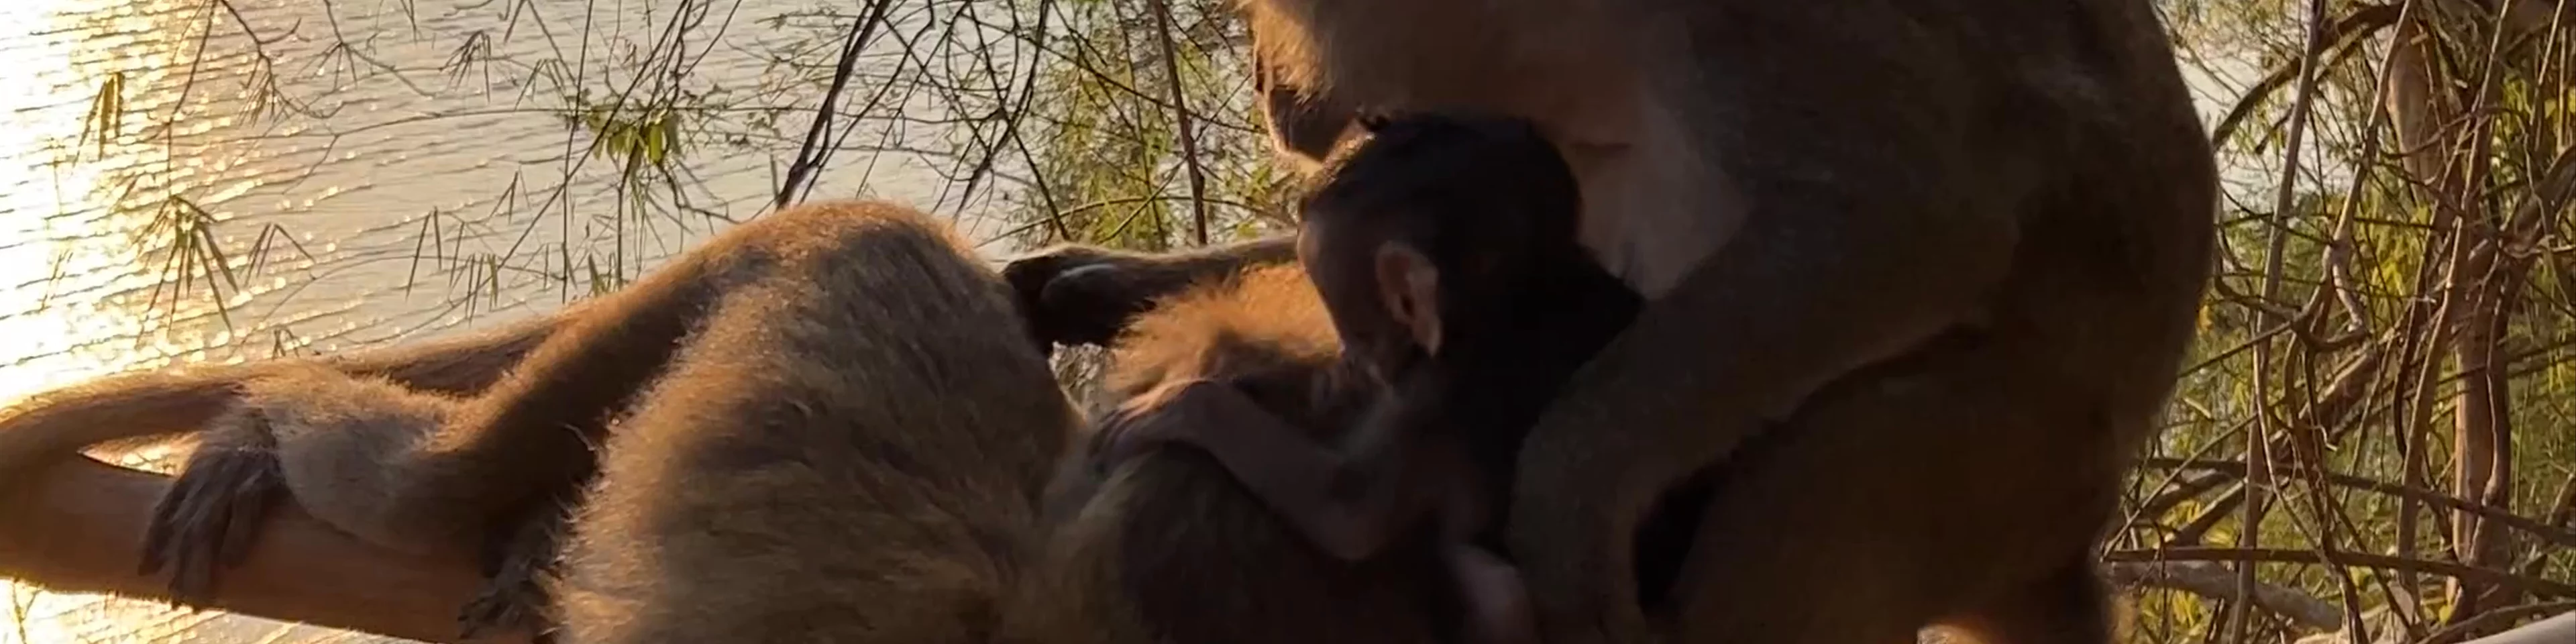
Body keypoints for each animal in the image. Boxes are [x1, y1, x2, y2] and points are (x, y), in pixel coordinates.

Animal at [1092, 112, 1638, 644]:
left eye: (1352, 325)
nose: (1351, 363)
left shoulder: (1425, 398)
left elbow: (1350, 510)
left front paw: (1177, 405)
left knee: (1489, 584)